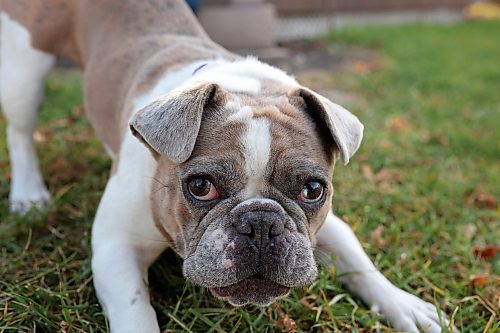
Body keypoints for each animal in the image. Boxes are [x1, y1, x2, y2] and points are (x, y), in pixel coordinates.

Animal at [0, 1, 454, 330]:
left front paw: (403, 305)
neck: (248, 90)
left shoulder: (328, 225)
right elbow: (135, 311)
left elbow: (358, 260)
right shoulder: (116, 248)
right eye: (200, 186)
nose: (262, 222)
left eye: (313, 189)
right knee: (21, 133)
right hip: (25, 71)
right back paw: (29, 195)